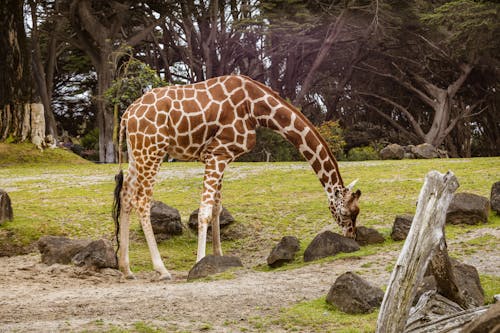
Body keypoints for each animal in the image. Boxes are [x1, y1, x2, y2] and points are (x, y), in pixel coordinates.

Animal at [111, 74, 362, 278]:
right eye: (346, 213)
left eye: (357, 213)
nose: (352, 238)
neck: (257, 108)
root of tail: (126, 115)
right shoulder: (217, 153)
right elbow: (204, 211)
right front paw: (199, 263)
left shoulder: (224, 157)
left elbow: (217, 209)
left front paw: (217, 258)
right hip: (152, 151)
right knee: (142, 201)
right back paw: (161, 269)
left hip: (136, 154)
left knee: (126, 197)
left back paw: (126, 268)